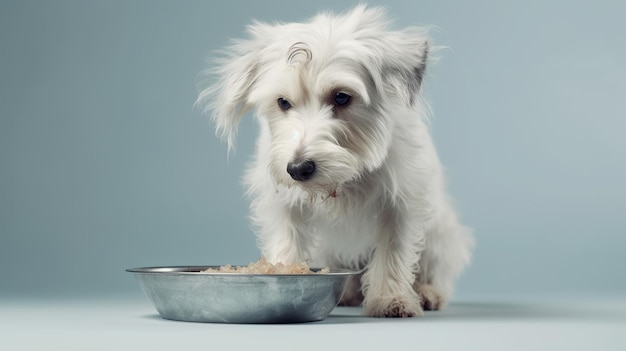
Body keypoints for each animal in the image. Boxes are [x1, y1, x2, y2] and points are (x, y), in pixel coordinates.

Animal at [197, 5, 470, 320]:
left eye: (341, 97)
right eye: (283, 102)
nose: (298, 169)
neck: (348, 176)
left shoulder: (402, 202)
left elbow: (394, 252)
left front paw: (391, 299)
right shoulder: (282, 203)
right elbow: (286, 240)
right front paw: (282, 273)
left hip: (441, 234)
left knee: (433, 268)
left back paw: (427, 292)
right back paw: (349, 294)